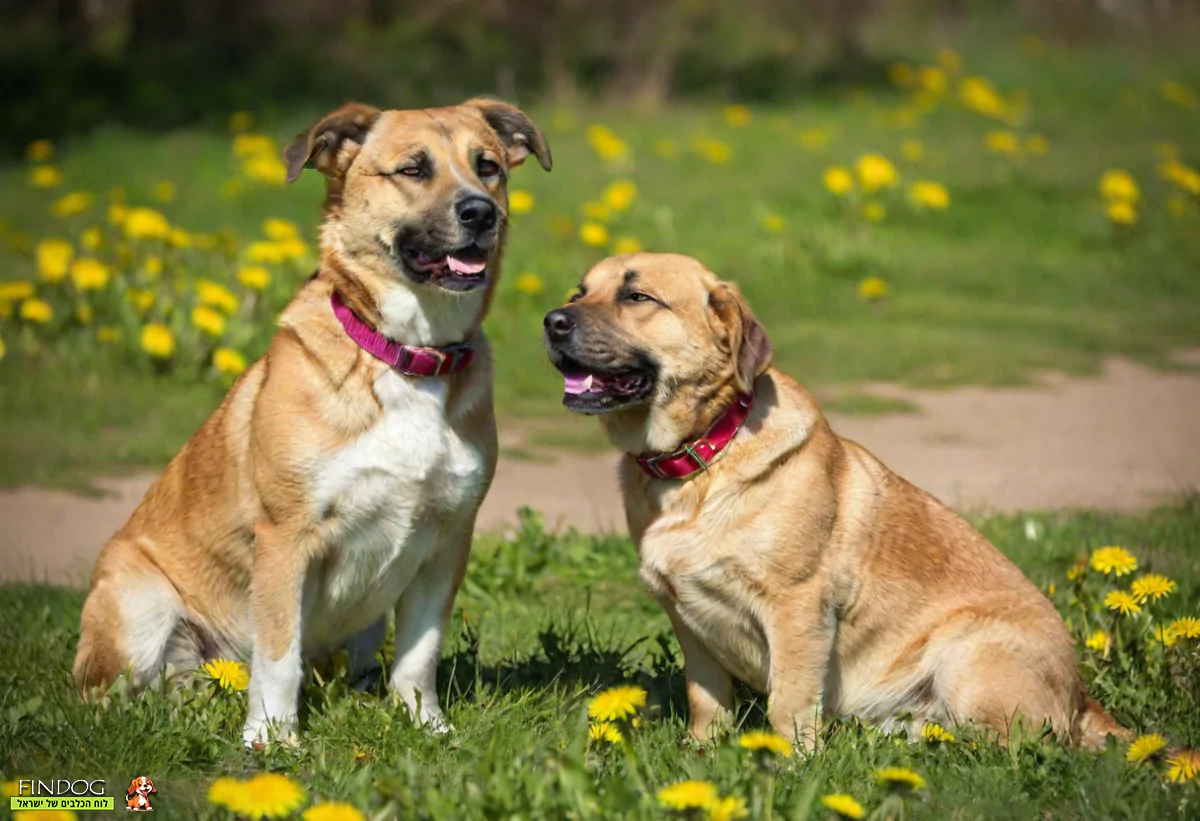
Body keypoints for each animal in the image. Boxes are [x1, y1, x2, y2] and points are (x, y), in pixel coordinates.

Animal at [70, 96, 549, 744]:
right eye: (413, 169)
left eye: (488, 167)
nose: (481, 212)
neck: (406, 355)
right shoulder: (285, 538)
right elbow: (278, 655)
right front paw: (272, 739)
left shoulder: (448, 540)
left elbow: (419, 654)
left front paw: (425, 725)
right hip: (135, 600)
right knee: (110, 698)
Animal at [544, 254, 1123, 748]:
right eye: (580, 291)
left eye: (638, 296)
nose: (553, 321)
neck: (702, 457)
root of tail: (1082, 698)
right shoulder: (689, 622)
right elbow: (706, 701)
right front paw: (702, 753)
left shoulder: (798, 607)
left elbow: (787, 702)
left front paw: (792, 764)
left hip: (967, 656)